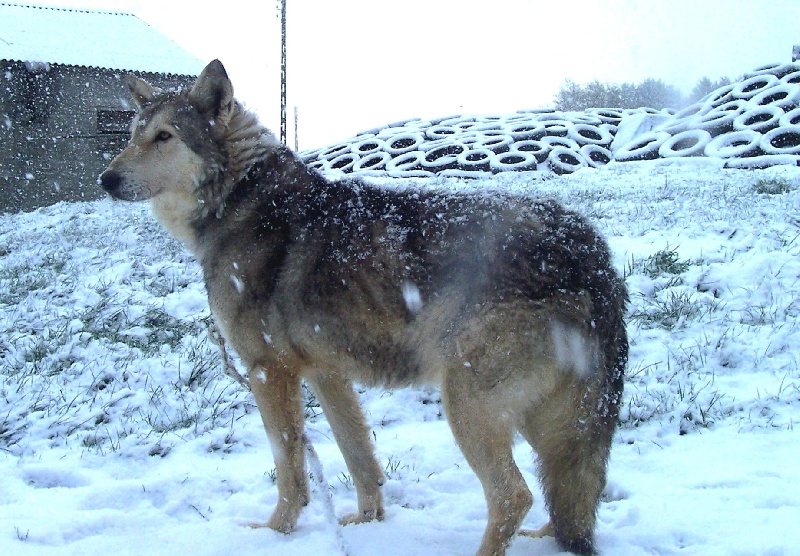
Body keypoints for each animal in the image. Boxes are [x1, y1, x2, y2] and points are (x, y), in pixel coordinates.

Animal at [98, 59, 624, 556]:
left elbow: (289, 469)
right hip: (546, 421)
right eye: (132, 135)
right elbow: (359, 459)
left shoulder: (268, 372)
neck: (240, 200)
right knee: (566, 492)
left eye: (163, 137)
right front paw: (366, 522)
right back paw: (547, 538)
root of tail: (589, 251)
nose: (106, 179)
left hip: (468, 404)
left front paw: (275, 532)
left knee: (514, 495)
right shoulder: (326, 373)